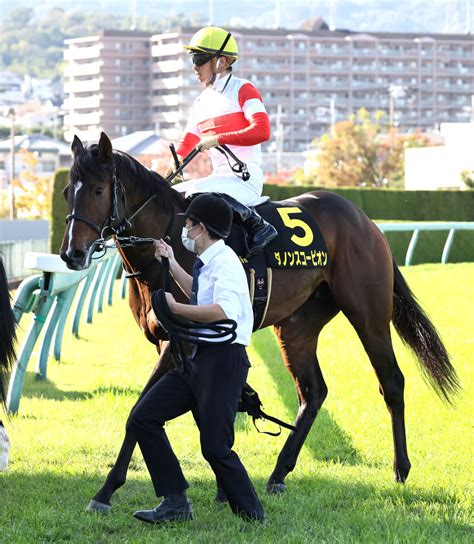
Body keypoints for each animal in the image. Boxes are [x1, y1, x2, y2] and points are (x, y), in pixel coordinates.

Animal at [59, 133, 460, 516]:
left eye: (98, 190)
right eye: (66, 192)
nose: (71, 254)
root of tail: (365, 221)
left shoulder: (179, 341)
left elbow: (140, 411)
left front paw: (106, 491)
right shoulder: (171, 343)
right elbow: (197, 409)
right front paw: (223, 488)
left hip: (369, 314)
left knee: (391, 381)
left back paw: (400, 468)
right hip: (296, 327)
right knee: (313, 392)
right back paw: (279, 473)